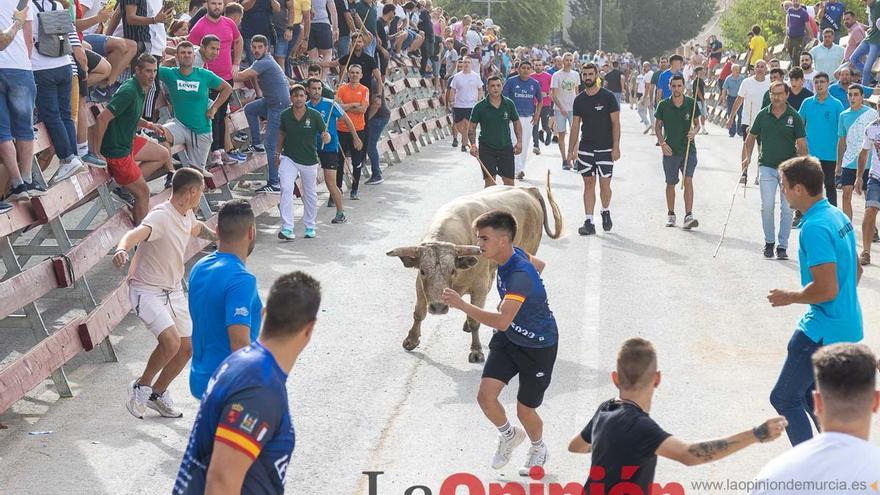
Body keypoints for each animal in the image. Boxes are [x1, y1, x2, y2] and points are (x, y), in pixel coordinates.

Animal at [384, 174, 564, 364]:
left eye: (452, 271)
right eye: (424, 271)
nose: (438, 307)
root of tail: (527, 190)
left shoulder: (479, 286)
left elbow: (475, 320)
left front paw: (476, 350)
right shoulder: (420, 284)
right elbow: (419, 312)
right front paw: (411, 339)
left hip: (529, 249)